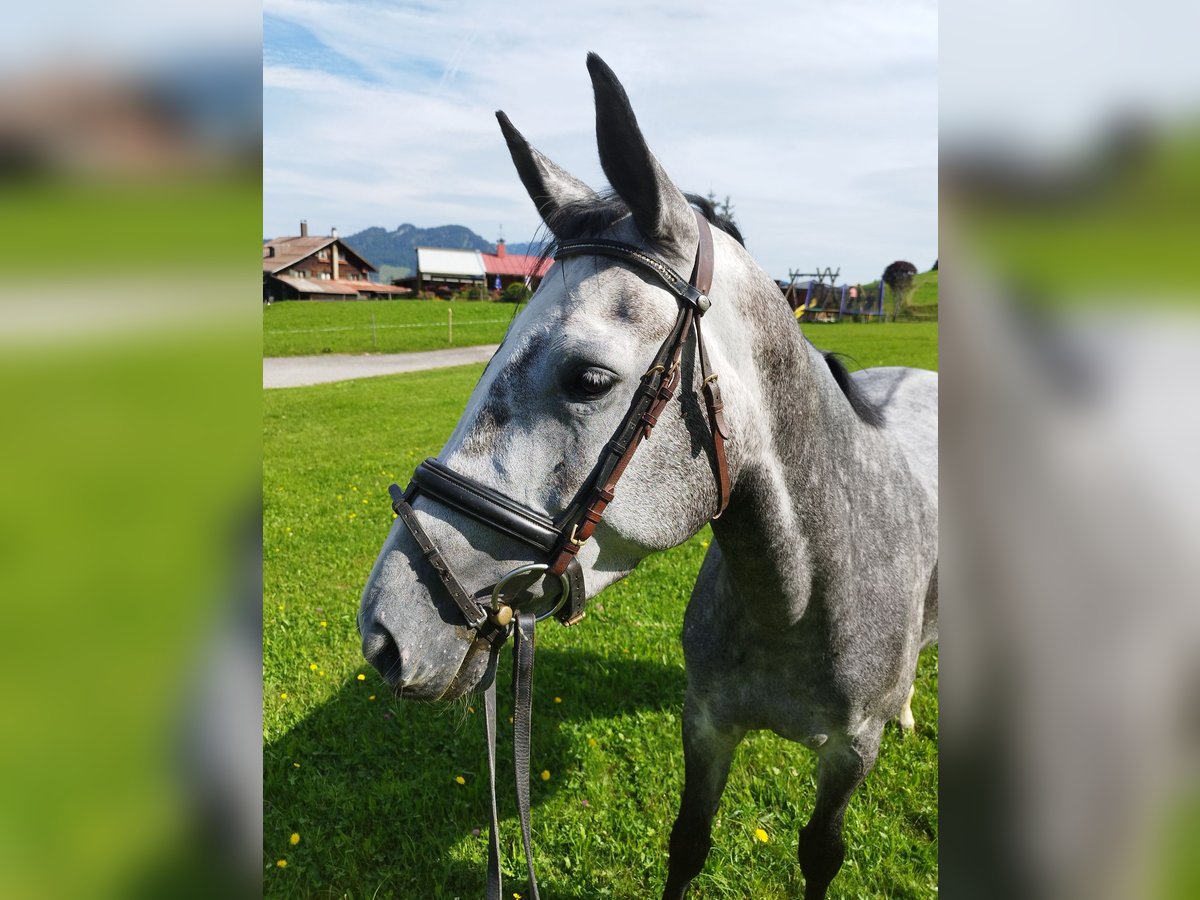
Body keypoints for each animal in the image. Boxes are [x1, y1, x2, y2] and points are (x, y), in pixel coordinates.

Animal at [357, 52, 936, 897]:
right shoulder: (707, 724)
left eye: (589, 378)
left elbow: (820, 855)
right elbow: (688, 842)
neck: (801, 597)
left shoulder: (849, 755)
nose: (383, 633)